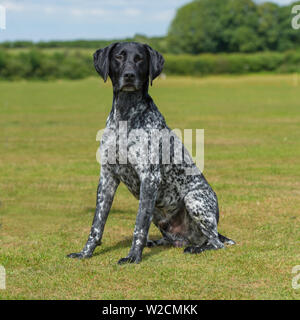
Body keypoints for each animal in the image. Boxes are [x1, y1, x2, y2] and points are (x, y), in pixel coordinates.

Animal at [67, 41, 234, 264]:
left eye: (140, 59)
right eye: (119, 56)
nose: (129, 75)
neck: (126, 115)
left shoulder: (149, 178)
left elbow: (139, 225)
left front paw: (132, 257)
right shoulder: (107, 180)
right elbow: (97, 224)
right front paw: (85, 253)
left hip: (194, 199)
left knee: (215, 243)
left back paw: (196, 248)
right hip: (158, 212)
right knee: (172, 239)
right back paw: (155, 243)